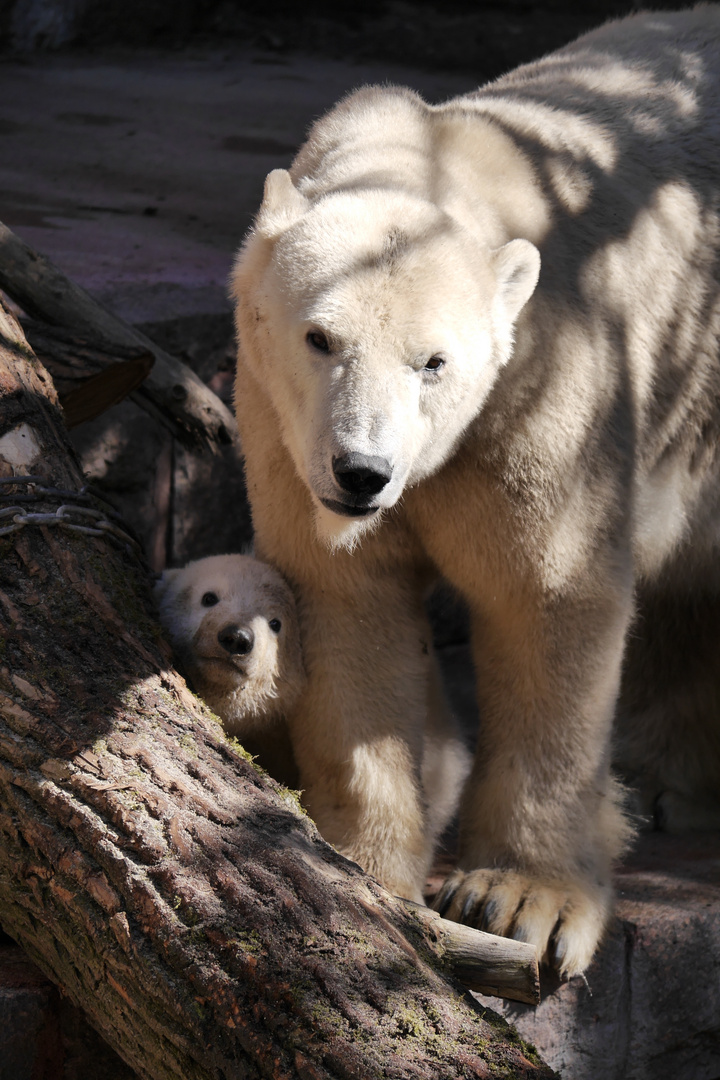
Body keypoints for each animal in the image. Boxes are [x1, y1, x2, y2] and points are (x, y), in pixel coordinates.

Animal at [234, 8, 720, 984]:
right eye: (319, 336)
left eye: (435, 361)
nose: (361, 472)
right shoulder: (281, 430)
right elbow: (348, 605)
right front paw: (360, 864)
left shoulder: (546, 391)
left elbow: (547, 596)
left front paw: (520, 899)